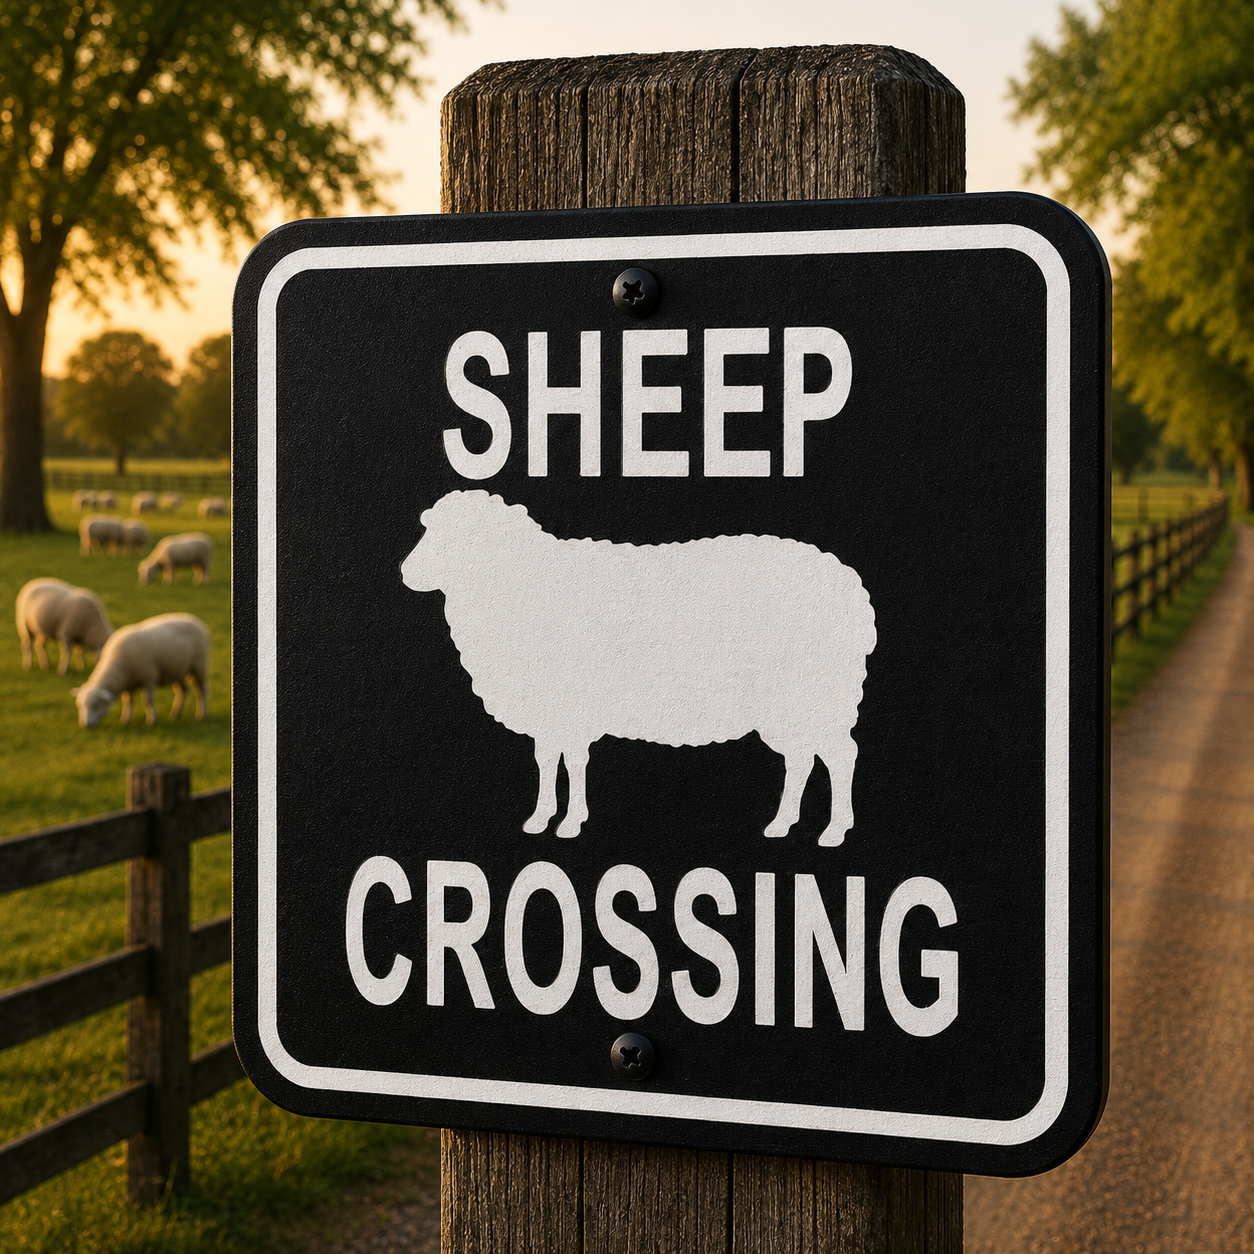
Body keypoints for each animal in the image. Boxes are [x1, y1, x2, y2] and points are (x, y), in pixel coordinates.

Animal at [72, 612, 210, 727]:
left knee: (202, 690)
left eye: (95, 705)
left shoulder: (149, 676)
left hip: (200, 666)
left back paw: (202, 714)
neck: (118, 664)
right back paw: (176, 714)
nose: (85, 725)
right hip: (178, 669)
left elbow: (148, 700)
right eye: (79, 706)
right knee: (183, 690)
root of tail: (194, 618)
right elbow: (128, 702)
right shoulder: (128, 683)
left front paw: (152, 720)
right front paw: (125, 720)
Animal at [401, 490, 877, 847]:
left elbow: (573, 761)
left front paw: (570, 822)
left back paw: (834, 830)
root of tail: (850, 585)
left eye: (469, 537)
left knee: (841, 755)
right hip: (795, 706)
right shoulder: (551, 711)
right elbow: (548, 760)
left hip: (818, 697)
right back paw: (782, 824)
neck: (518, 582)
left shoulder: (572, 706)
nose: (406, 573)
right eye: (428, 527)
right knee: (802, 758)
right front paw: (541, 818)